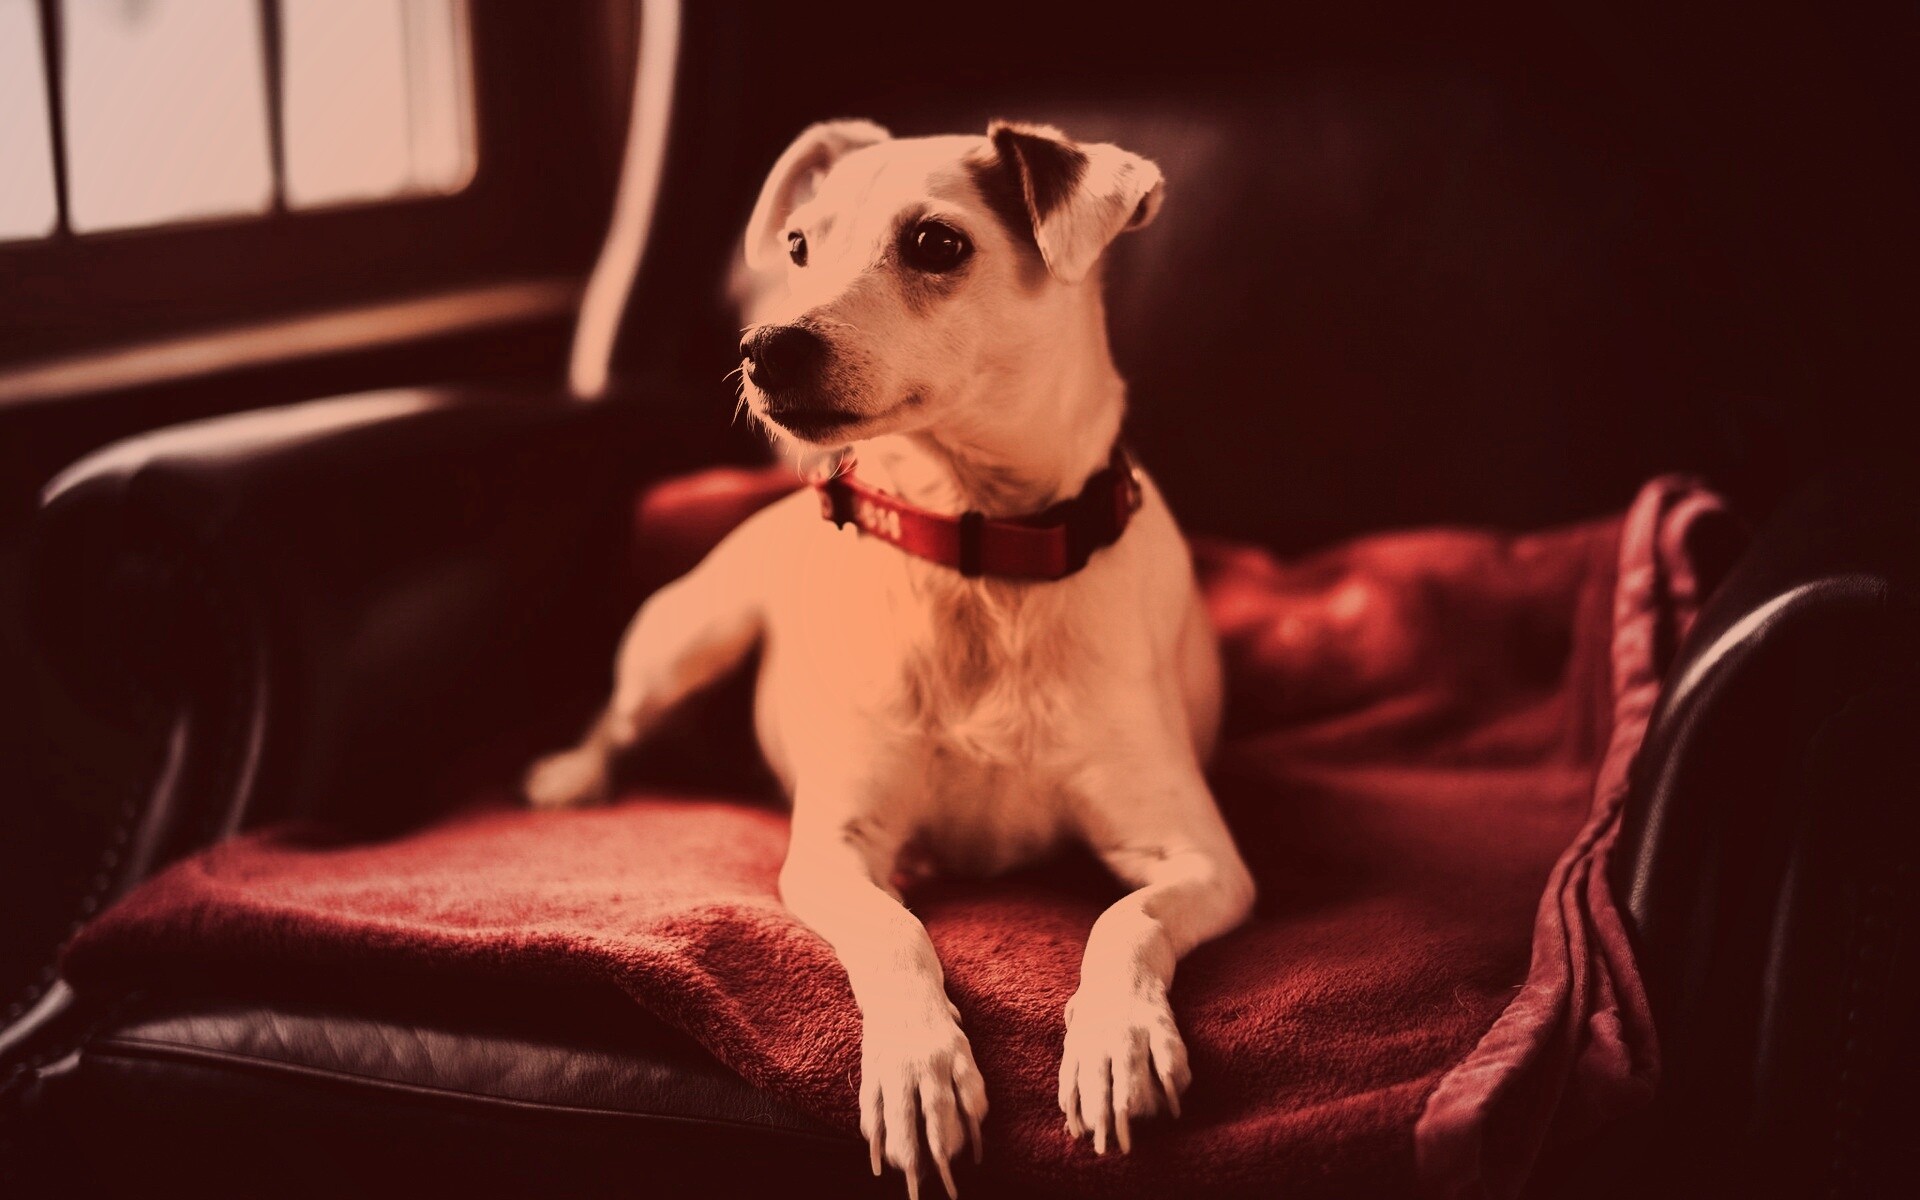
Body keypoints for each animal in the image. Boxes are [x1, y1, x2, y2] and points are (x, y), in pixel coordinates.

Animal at [525, 119, 1255, 1199]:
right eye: (796, 247)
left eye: (937, 245)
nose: (764, 348)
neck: (980, 555)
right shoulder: (833, 850)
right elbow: (895, 933)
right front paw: (919, 1066)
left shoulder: (1204, 861)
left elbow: (1128, 921)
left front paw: (1116, 1041)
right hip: (685, 639)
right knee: (618, 717)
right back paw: (573, 774)